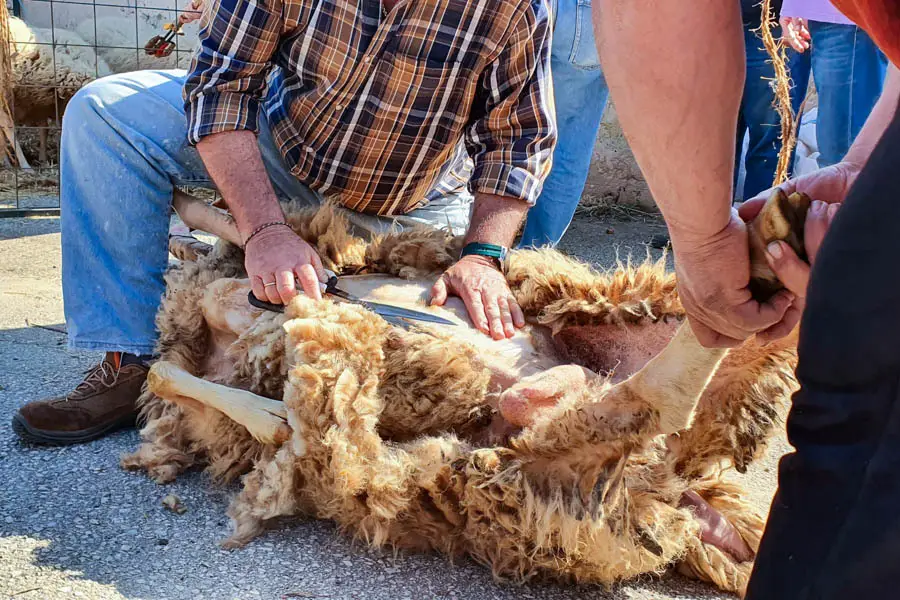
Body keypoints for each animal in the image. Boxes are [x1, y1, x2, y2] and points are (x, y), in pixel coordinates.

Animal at [121, 190, 808, 596]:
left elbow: (243, 241)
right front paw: (274, 412)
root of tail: (681, 492)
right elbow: (167, 372)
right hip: (544, 474)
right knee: (658, 389)